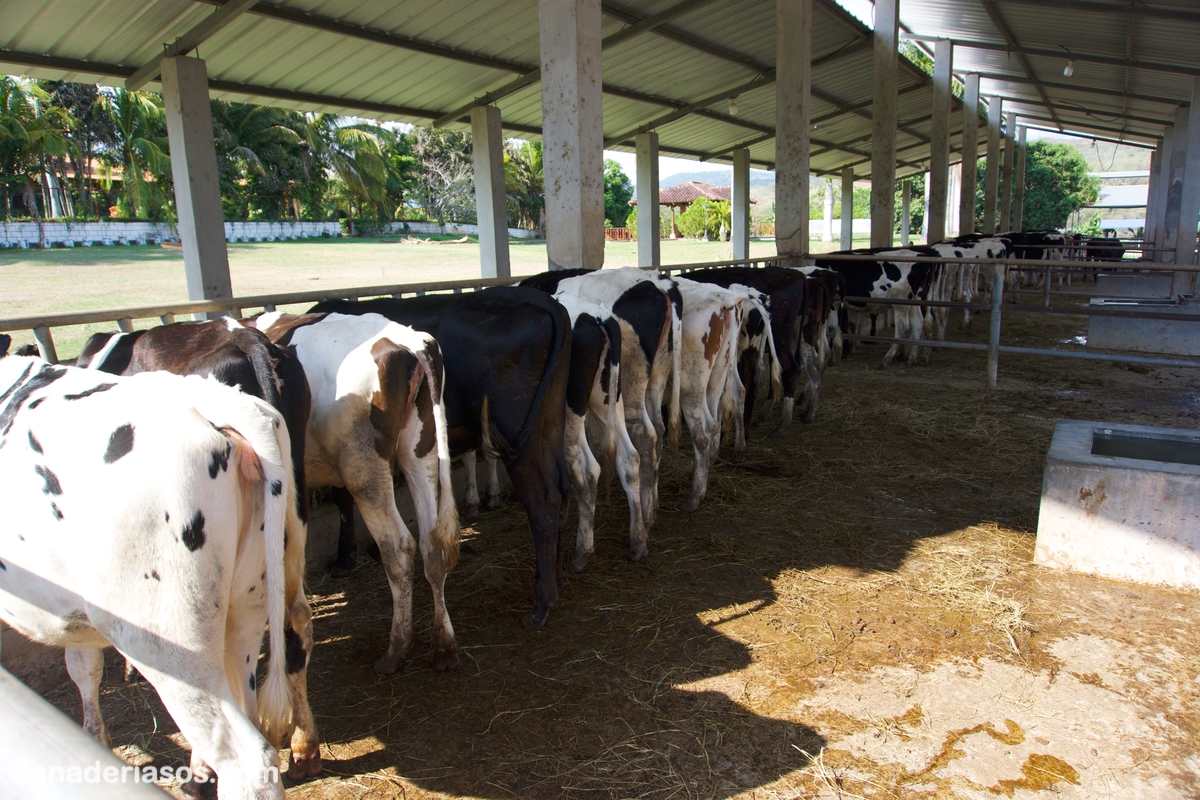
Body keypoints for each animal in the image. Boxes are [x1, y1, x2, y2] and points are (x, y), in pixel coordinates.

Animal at [253, 311, 458, 676]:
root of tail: (409, 341)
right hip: (420, 448)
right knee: (431, 543)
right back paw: (444, 647)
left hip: (363, 467)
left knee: (398, 546)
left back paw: (396, 650)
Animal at [309, 287, 571, 633]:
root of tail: (533, 297)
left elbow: (343, 497)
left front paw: (345, 558)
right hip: (549, 423)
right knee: (564, 487)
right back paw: (557, 574)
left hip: (517, 433)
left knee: (543, 501)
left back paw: (542, 601)